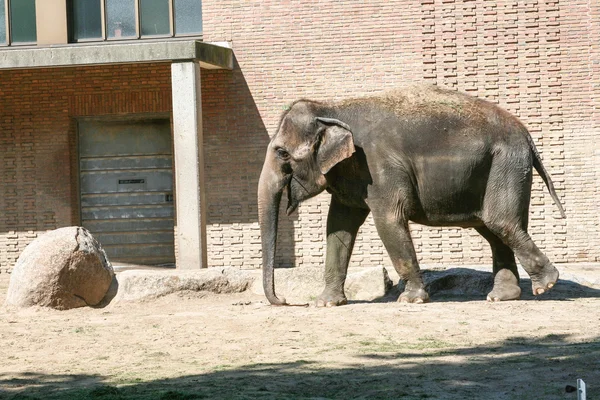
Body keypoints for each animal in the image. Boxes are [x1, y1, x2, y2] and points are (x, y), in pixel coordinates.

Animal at [255, 85, 564, 306]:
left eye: (282, 153)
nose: (285, 301)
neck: (332, 107)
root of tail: (527, 136)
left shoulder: (378, 165)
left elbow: (389, 221)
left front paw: (410, 300)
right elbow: (338, 227)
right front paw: (326, 304)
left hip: (506, 165)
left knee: (501, 223)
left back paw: (546, 284)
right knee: (494, 227)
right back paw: (502, 297)